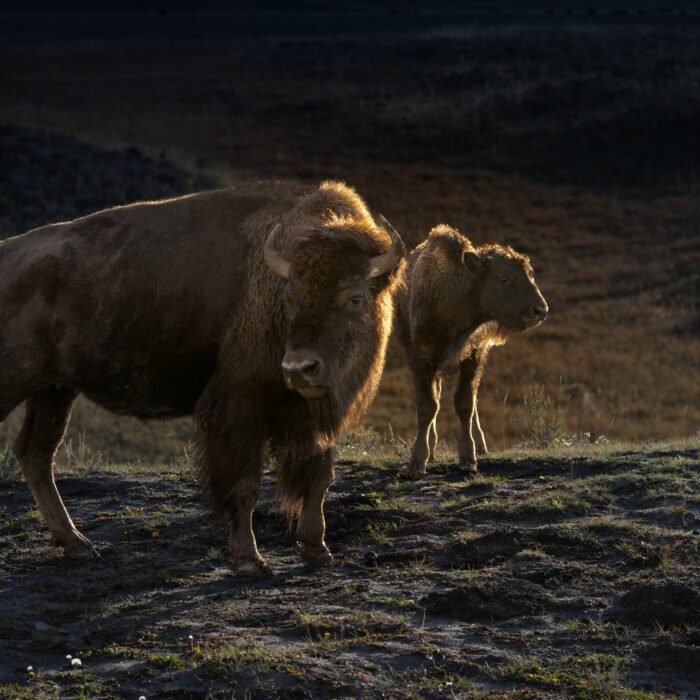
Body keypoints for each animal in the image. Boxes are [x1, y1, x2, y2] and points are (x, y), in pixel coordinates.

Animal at [0, 180, 405, 574]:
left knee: (37, 453)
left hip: (54, 389)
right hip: (19, 384)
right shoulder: (240, 408)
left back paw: (78, 544)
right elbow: (245, 484)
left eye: (355, 298)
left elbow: (319, 479)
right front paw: (248, 560)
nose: (298, 368)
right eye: (290, 295)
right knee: (34, 452)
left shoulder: (317, 417)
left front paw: (317, 550)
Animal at [395, 224, 548, 479]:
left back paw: (481, 446)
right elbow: (428, 407)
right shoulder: (421, 360)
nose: (540, 310)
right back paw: (432, 450)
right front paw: (417, 463)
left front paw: (468, 459)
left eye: (530, 274)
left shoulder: (473, 358)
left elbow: (464, 403)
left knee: (472, 401)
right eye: (503, 277)